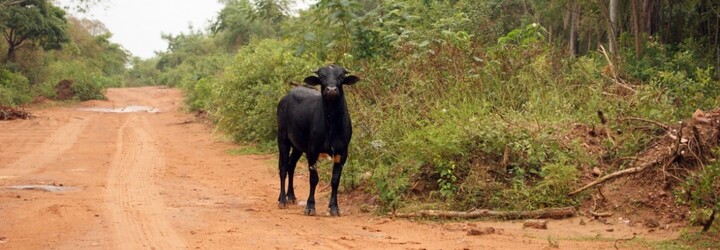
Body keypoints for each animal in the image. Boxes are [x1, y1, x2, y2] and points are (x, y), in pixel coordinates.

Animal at [276, 65, 360, 217]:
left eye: (341, 76)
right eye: (322, 76)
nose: (331, 90)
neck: (332, 123)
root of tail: (286, 97)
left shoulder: (342, 152)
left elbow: (335, 180)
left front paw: (334, 208)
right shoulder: (313, 150)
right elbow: (314, 179)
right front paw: (310, 206)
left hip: (298, 147)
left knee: (291, 165)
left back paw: (290, 196)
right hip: (282, 139)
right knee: (283, 168)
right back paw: (282, 200)